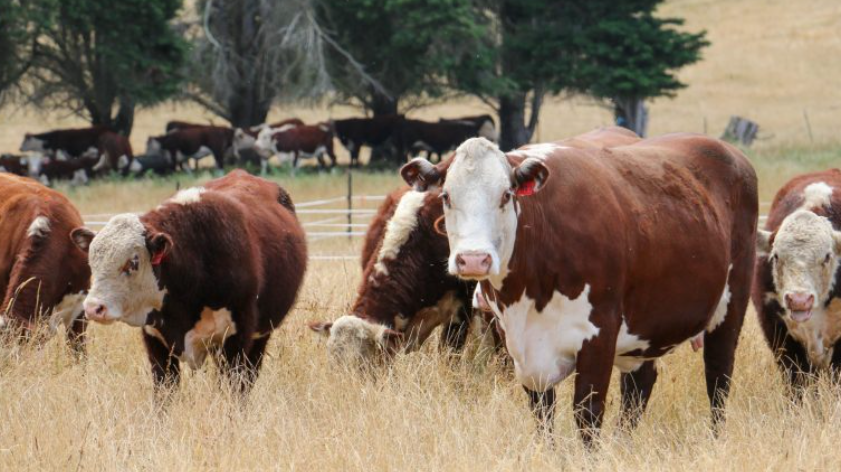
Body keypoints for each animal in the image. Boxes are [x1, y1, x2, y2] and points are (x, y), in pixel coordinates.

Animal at [70, 170, 307, 392]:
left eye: (133, 262)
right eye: (92, 261)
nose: (93, 308)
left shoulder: (237, 337)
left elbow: (235, 387)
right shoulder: (156, 341)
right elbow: (165, 390)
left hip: (261, 336)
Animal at [400, 128, 758, 444]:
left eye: (506, 195)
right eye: (446, 196)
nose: (474, 259)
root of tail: (731, 152)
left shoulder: (598, 337)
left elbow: (587, 416)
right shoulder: (521, 348)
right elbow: (543, 417)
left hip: (730, 308)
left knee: (718, 379)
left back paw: (715, 440)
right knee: (639, 387)